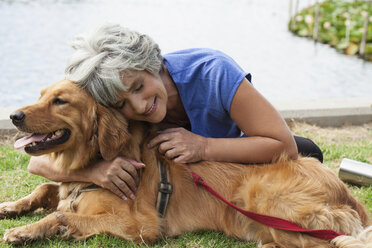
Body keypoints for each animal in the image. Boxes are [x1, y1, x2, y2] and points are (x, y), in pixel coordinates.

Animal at [0, 80, 372, 247]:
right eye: (40, 95)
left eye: (60, 101)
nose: (14, 116)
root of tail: (346, 194)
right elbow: (46, 187)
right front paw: (11, 207)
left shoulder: (141, 225)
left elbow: (63, 214)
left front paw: (27, 230)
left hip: (261, 195)